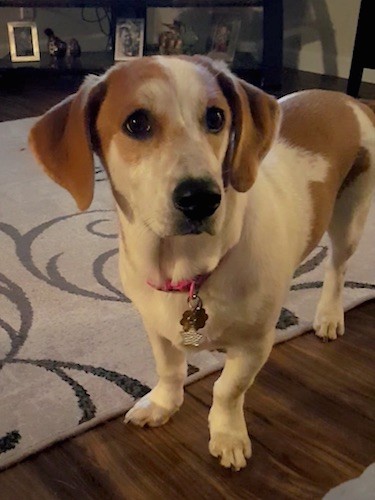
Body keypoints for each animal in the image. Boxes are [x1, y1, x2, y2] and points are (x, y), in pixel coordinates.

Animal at [27, 56, 374, 470]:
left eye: (215, 117)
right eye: (136, 123)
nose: (202, 198)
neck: (186, 267)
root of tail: (349, 100)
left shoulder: (256, 345)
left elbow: (228, 389)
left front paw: (227, 435)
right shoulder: (156, 327)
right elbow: (170, 369)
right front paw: (163, 404)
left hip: (350, 217)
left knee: (337, 267)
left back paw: (329, 315)